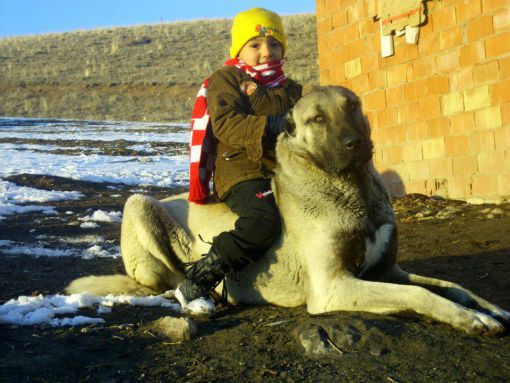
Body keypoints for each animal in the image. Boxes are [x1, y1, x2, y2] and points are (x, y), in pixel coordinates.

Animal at [65, 86, 508, 336]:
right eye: (317, 118)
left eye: (354, 106)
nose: (356, 143)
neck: (352, 189)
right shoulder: (334, 286)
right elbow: (420, 293)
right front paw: (472, 321)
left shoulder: (388, 270)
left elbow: (452, 286)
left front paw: (490, 308)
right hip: (139, 205)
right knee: (169, 279)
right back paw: (199, 294)